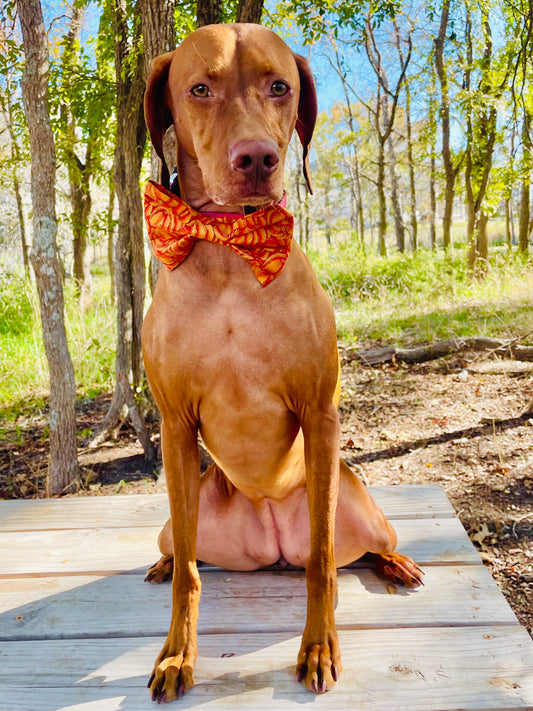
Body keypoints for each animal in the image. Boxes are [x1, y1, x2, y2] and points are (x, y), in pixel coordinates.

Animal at [141, 22, 424, 708]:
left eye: (280, 87)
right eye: (200, 88)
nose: (257, 159)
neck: (231, 255)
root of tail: (270, 544)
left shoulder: (320, 413)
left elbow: (322, 563)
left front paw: (318, 646)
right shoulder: (174, 425)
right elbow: (191, 576)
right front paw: (177, 654)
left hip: (358, 508)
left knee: (361, 549)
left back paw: (397, 563)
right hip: (185, 511)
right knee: (181, 549)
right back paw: (164, 562)